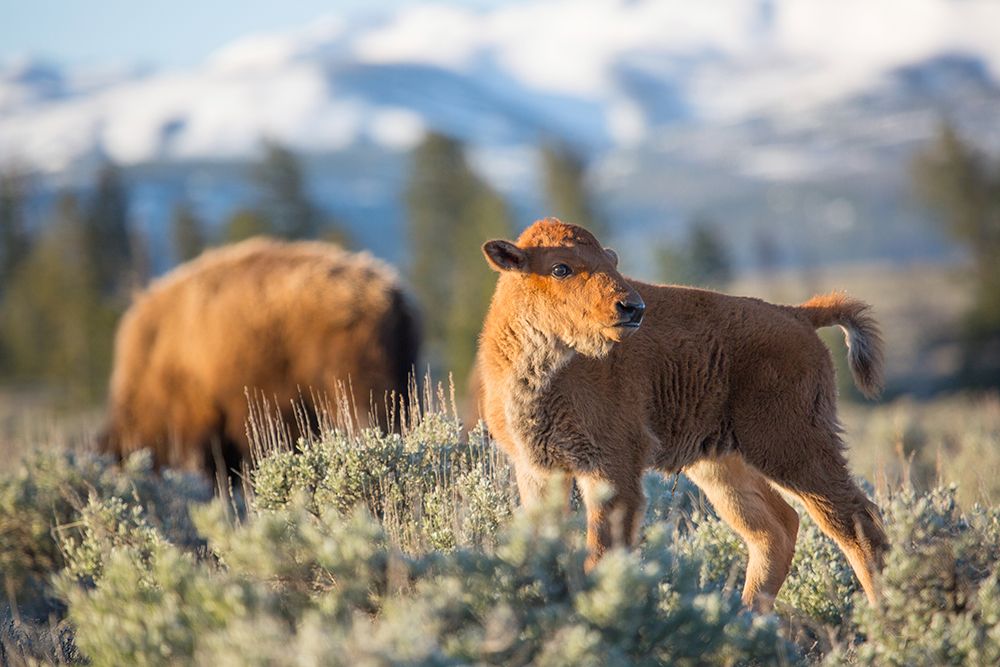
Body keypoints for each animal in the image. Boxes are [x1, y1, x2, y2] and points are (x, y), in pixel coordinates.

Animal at [478, 218, 892, 612]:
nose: (632, 308)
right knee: (776, 529)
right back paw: (745, 619)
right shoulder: (537, 470)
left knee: (858, 525)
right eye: (560, 268)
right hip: (721, 465)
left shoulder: (611, 469)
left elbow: (601, 554)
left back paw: (882, 618)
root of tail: (797, 314)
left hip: (793, 449)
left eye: (612, 263)